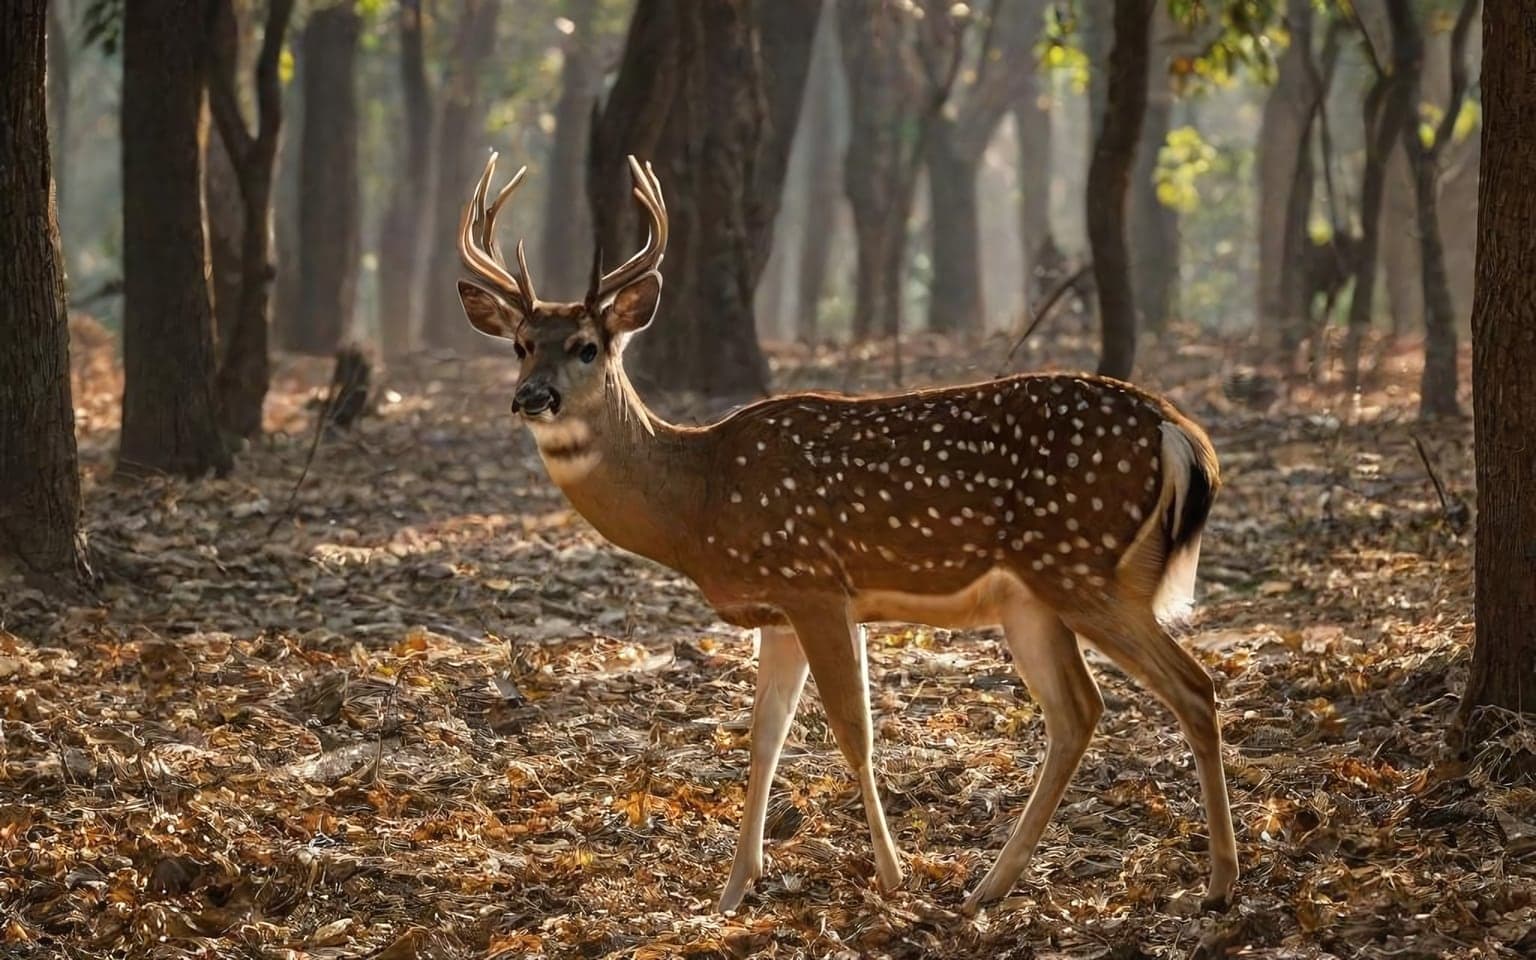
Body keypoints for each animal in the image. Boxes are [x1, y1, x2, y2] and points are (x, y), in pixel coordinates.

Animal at [455, 152, 1238, 916]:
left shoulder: (814, 583)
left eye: (587, 346)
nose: (533, 397)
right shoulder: (778, 610)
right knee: (1080, 710)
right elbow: (764, 738)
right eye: (522, 344)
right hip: (1037, 596)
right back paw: (989, 885)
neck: (700, 501)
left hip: (1080, 562)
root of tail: (1180, 433)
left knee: (1192, 686)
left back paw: (1218, 884)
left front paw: (890, 879)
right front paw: (734, 890)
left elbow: (852, 732)